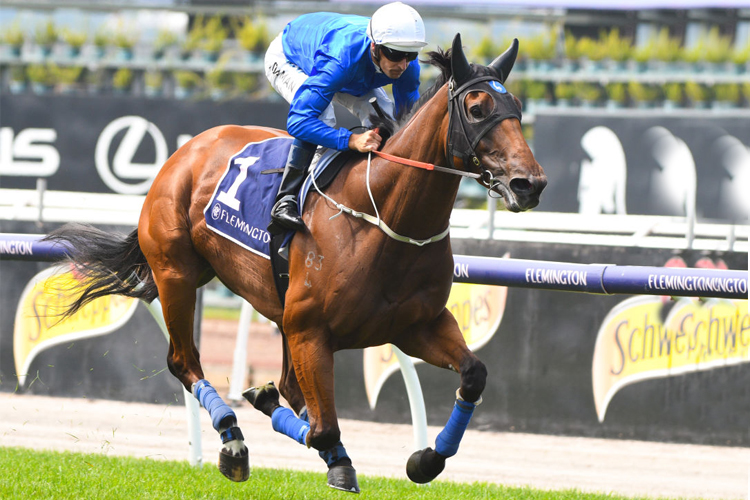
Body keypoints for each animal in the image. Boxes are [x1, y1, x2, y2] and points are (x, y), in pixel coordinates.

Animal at [47, 34, 548, 492]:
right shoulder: (310, 330)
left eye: (519, 107)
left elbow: (473, 374)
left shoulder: (415, 325)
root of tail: (187, 149)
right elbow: (322, 426)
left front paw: (426, 459)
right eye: (477, 108)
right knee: (184, 362)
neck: (384, 218)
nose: (530, 183)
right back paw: (233, 439)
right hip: (176, 273)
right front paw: (289, 424)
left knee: (282, 384)